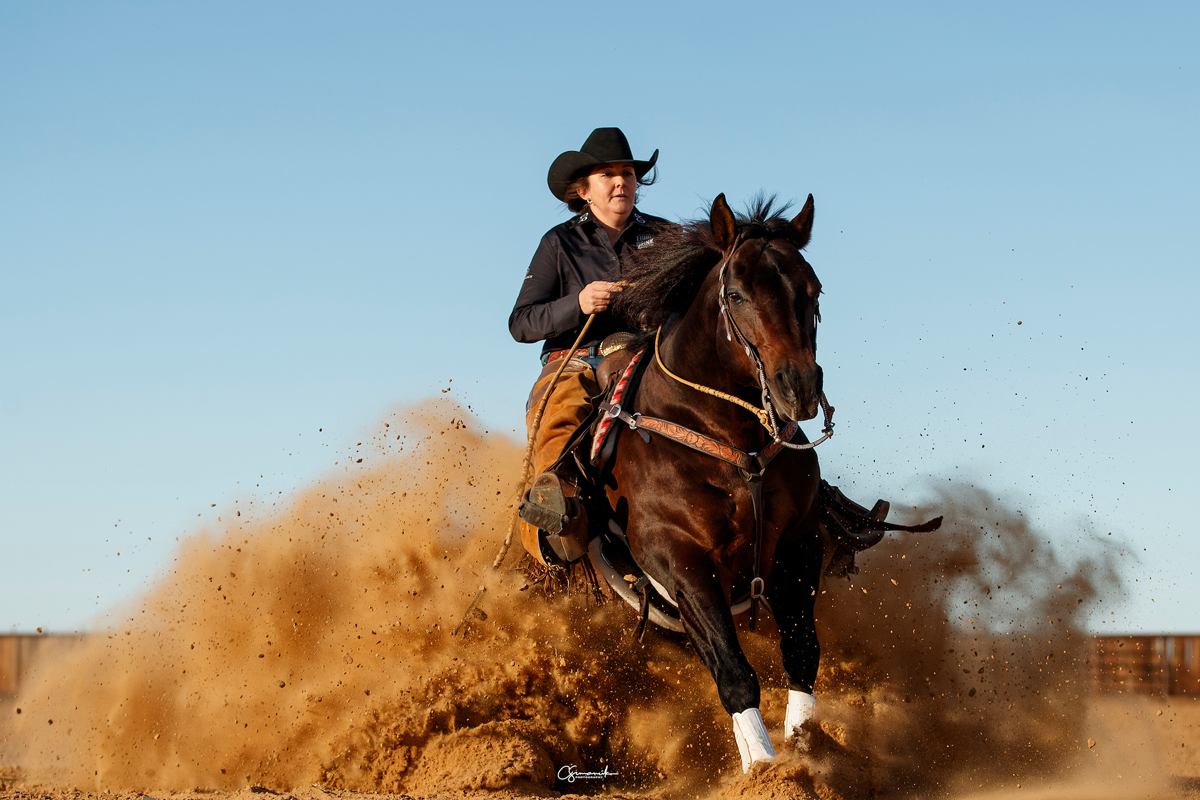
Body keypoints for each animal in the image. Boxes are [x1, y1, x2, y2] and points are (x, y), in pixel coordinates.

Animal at [590, 191, 864, 767]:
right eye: (735, 294)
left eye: (813, 289)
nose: (797, 386)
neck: (738, 448)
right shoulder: (678, 558)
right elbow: (735, 675)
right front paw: (767, 770)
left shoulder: (796, 543)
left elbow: (801, 653)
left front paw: (806, 751)